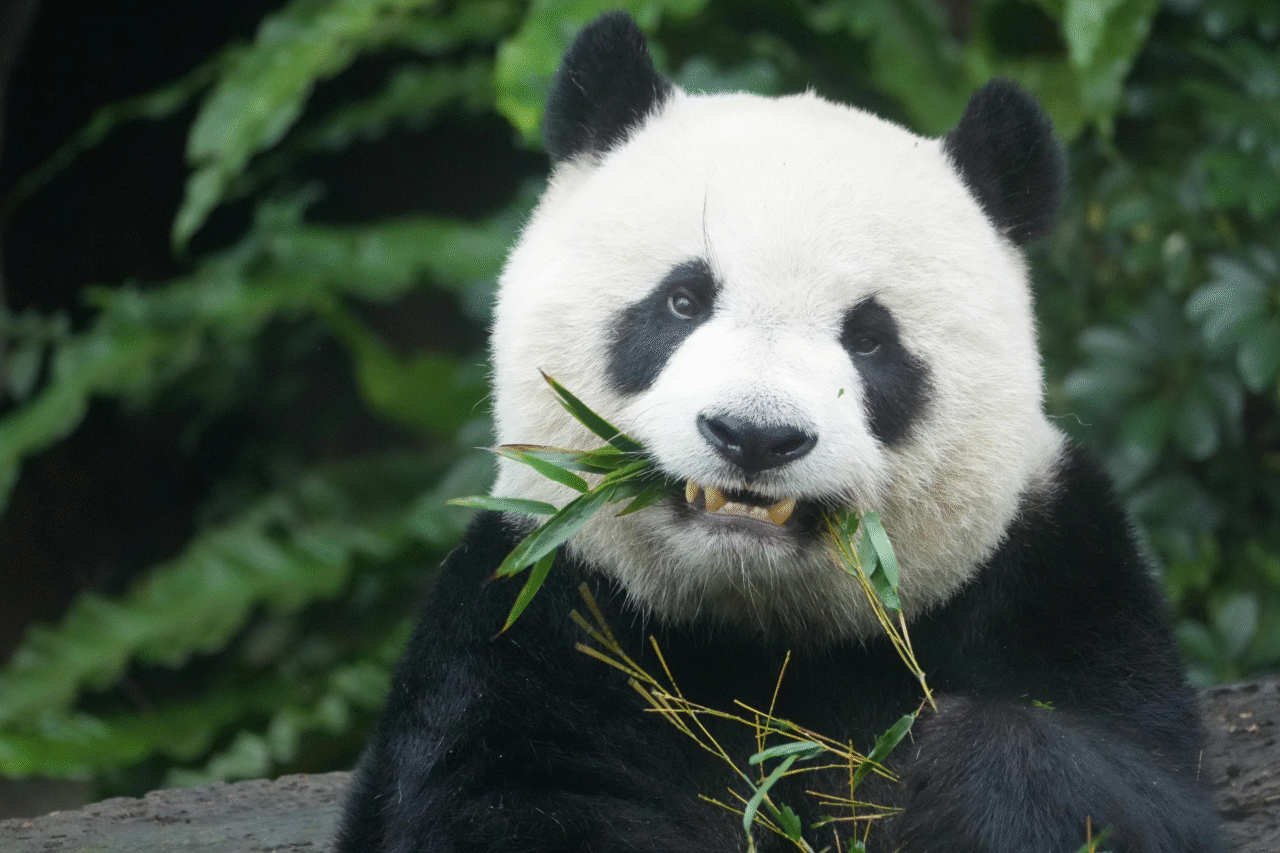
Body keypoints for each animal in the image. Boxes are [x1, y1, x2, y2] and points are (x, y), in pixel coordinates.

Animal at [338, 11, 1223, 853]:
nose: (754, 436)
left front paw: (963, 773)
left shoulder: (1050, 579)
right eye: (683, 300)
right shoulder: (542, 617)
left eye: (870, 339)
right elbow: (507, 801)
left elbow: (1139, 782)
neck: (760, 631)